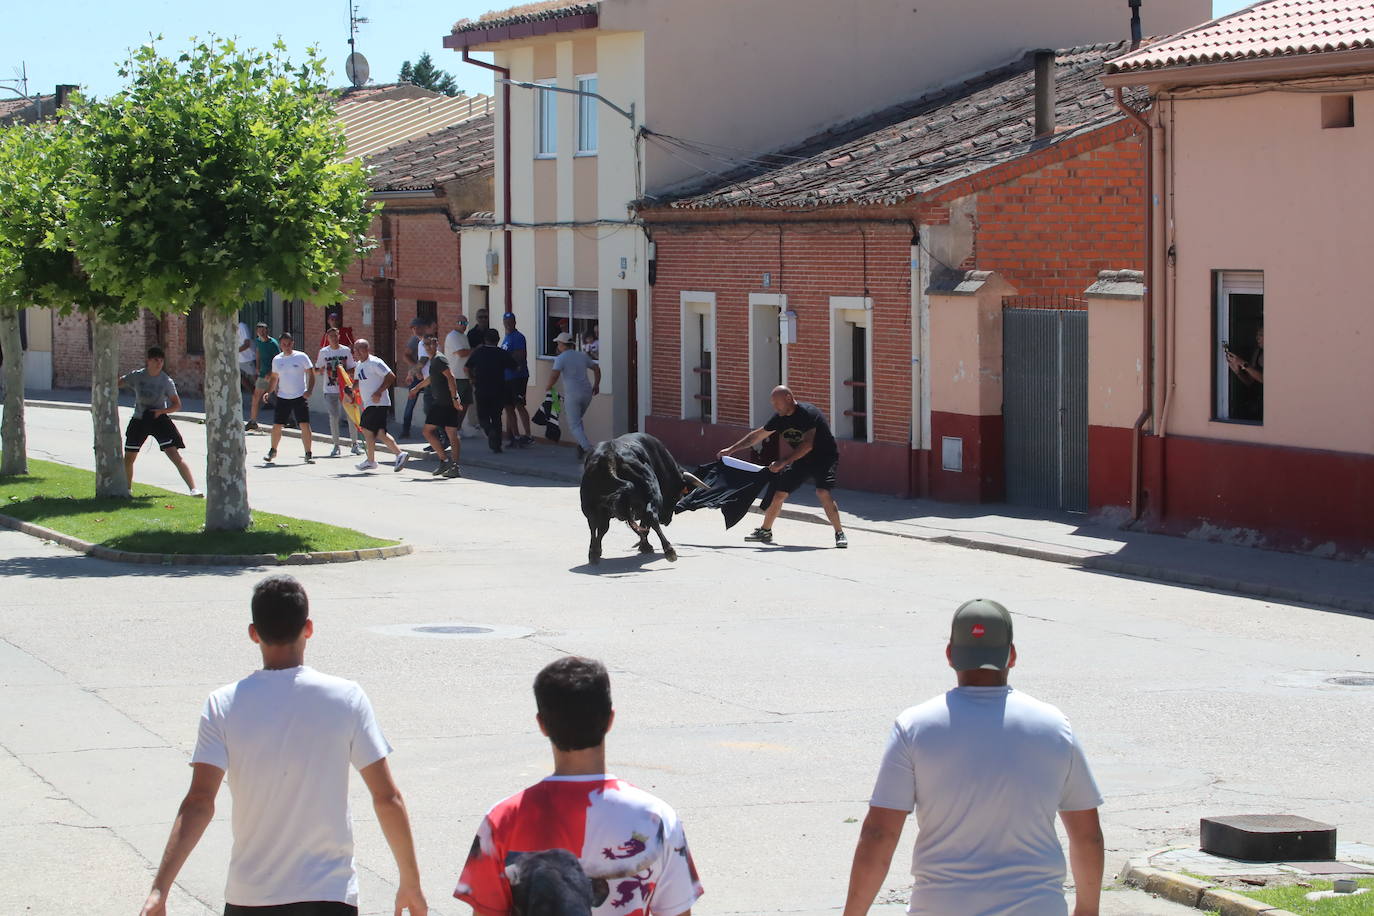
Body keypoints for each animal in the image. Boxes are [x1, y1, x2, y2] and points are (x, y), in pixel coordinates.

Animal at [582, 433, 708, 563]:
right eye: (677, 496)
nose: (665, 521)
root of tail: (610, 453)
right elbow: (645, 523)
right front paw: (645, 546)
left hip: (588, 503)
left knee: (595, 524)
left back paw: (594, 553)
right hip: (653, 493)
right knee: (651, 516)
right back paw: (669, 551)